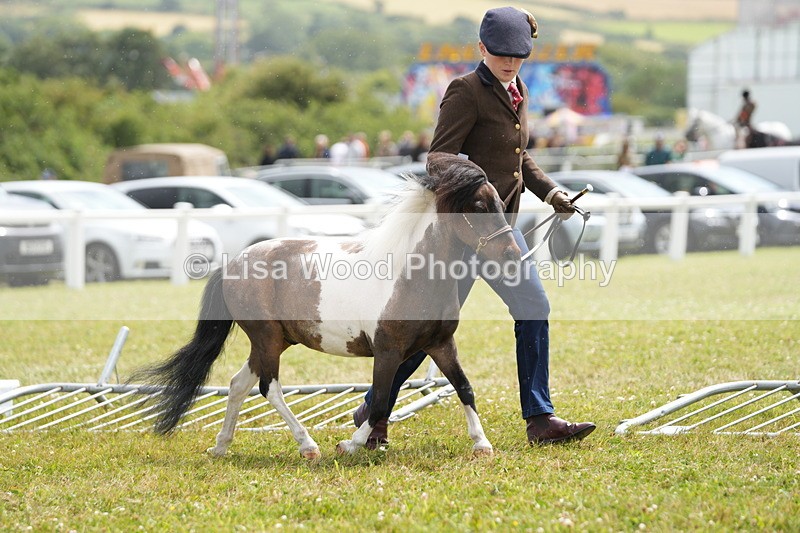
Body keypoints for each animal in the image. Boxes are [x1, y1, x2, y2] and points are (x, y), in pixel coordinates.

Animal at [133, 153, 521, 459]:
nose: (513, 256)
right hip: (266, 338)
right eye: (479, 207)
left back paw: (221, 446)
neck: (411, 275)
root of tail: (233, 263)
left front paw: (482, 444)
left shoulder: (440, 344)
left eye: (502, 205)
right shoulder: (388, 351)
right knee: (268, 387)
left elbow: (464, 387)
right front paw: (349, 445)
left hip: (274, 341)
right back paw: (308, 446)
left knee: (239, 383)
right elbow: (380, 401)